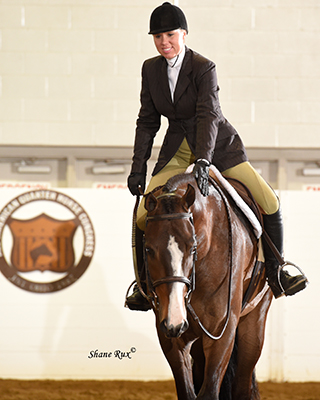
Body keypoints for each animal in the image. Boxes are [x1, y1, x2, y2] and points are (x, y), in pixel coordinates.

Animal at [142, 173, 272, 400]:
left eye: (192, 247)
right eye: (148, 249)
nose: (175, 319)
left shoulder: (222, 331)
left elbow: (209, 392)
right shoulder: (170, 334)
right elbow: (187, 391)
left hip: (254, 326)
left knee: (242, 386)